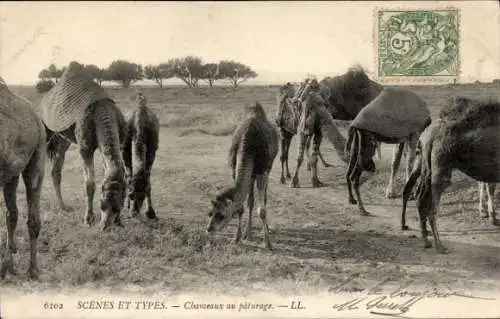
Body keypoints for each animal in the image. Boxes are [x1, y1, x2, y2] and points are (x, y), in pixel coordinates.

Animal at [40, 62, 128, 232]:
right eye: (102, 204)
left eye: (118, 206)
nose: (105, 226)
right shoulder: (85, 148)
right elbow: (89, 184)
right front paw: (88, 219)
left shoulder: (106, 146)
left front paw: (120, 221)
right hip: (45, 129)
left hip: (62, 140)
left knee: (56, 170)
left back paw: (63, 207)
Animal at [205, 101, 280, 251]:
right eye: (210, 213)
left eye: (221, 215)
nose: (209, 229)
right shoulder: (235, 167)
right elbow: (241, 206)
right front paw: (237, 237)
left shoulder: (262, 171)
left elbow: (261, 210)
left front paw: (268, 243)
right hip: (251, 174)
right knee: (250, 199)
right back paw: (248, 233)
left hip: (267, 168)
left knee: (264, 197)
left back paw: (264, 230)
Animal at [344, 87, 430, 216]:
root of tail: (354, 124)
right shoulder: (414, 134)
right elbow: (409, 164)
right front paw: (411, 194)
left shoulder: (402, 138)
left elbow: (396, 163)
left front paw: (391, 192)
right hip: (367, 143)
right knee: (354, 176)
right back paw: (362, 209)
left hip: (357, 142)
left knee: (349, 171)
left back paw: (352, 200)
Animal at [402, 96, 500, 254]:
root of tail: (426, 134)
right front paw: (491, 216)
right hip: (440, 167)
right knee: (431, 206)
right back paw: (439, 245)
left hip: (425, 164)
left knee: (419, 197)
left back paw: (426, 240)